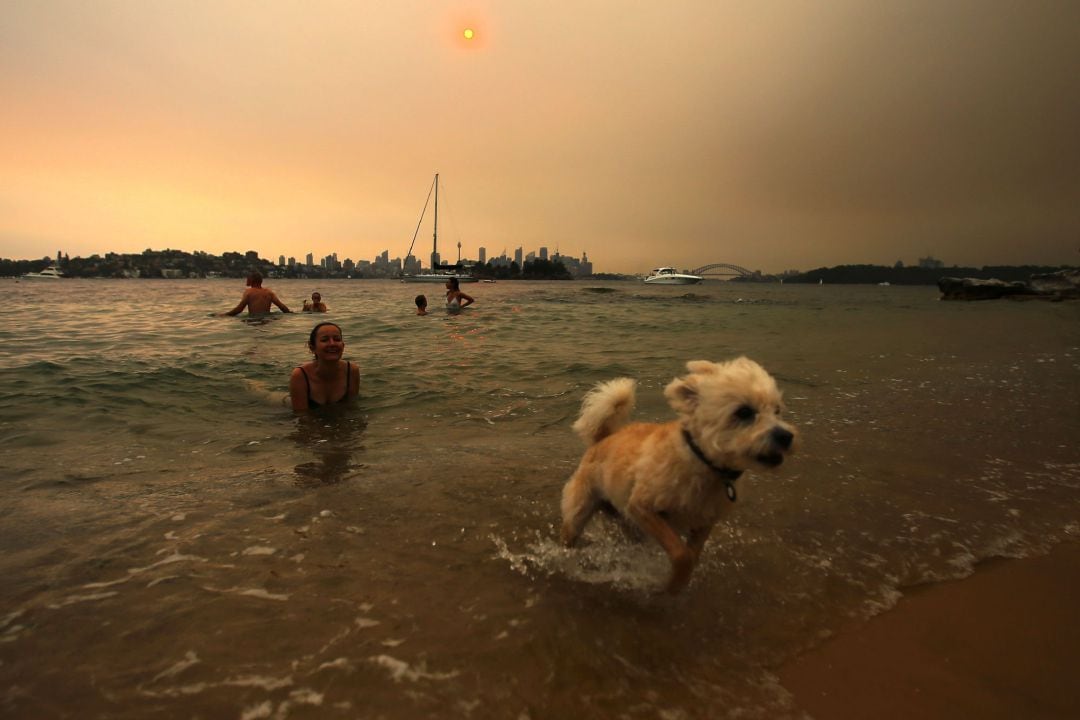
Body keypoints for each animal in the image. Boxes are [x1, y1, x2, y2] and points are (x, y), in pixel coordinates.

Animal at [561, 358, 799, 595]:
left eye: (777, 410)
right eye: (744, 412)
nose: (786, 436)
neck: (702, 462)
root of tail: (601, 439)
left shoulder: (704, 521)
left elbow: (692, 555)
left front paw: (681, 581)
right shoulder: (642, 506)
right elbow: (681, 554)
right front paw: (673, 586)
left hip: (628, 522)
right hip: (581, 511)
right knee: (571, 533)